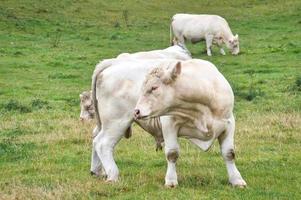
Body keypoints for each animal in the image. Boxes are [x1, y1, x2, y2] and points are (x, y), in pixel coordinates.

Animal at [135, 59, 245, 188]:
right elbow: (172, 153)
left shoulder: (229, 123)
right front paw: (171, 180)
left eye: (154, 87)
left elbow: (229, 153)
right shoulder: (169, 123)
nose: (136, 111)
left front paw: (237, 180)